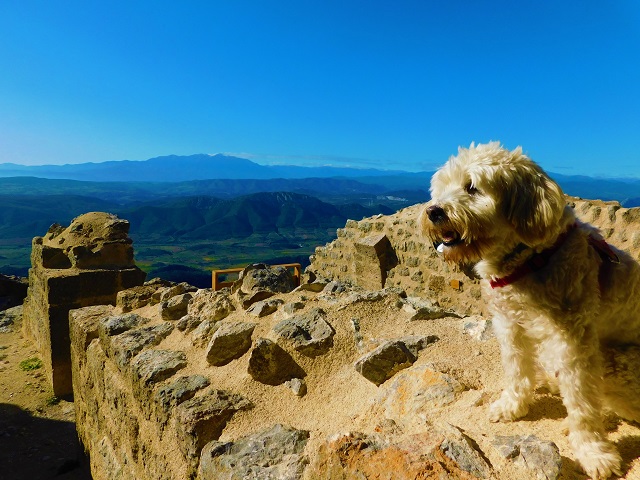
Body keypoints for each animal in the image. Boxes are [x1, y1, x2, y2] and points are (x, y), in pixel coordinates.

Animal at [420, 142, 640, 480]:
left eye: (471, 186)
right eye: (442, 187)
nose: (434, 211)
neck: (529, 260)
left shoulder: (573, 342)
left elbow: (582, 403)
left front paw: (593, 452)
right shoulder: (509, 325)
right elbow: (516, 370)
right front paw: (512, 406)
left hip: (615, 363)